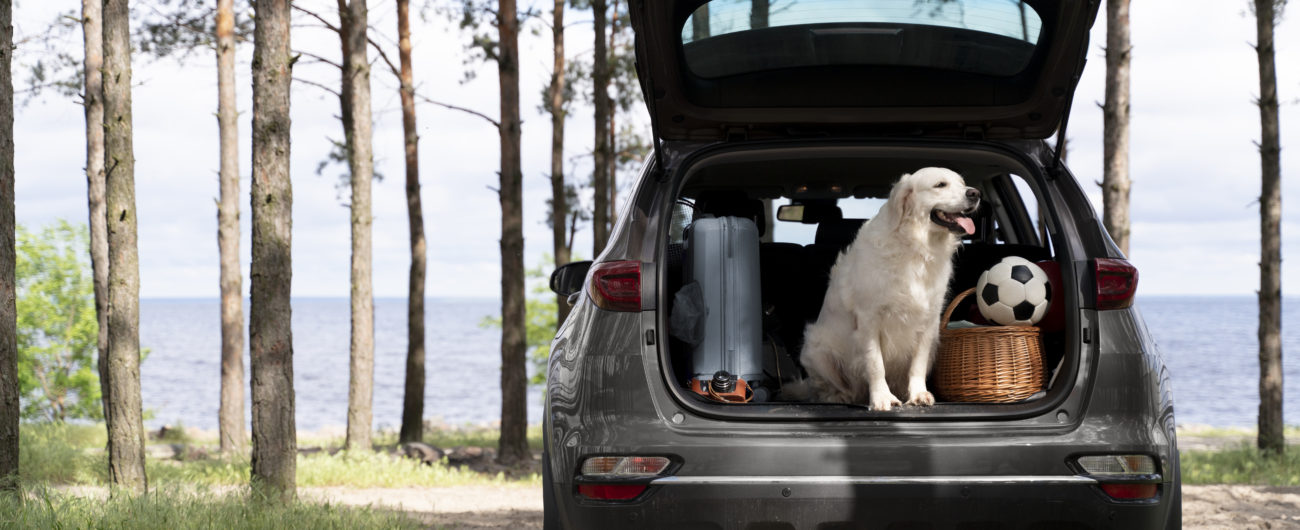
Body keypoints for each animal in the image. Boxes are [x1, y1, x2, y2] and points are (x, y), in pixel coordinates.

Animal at [795, 166, 977, 410]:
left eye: (962, 183)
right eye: (940, 185)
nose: (975, 194)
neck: (916, 247)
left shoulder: (929, 320)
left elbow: (917, 364)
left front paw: (918, 394)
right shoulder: (869, 317)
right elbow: (875, 363)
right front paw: (882, 398)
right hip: (816, 350)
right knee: (827, 389)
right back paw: (840, 397)